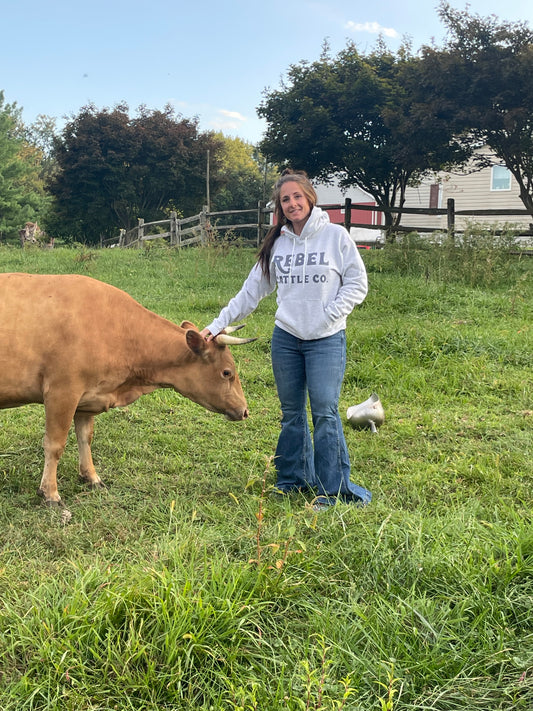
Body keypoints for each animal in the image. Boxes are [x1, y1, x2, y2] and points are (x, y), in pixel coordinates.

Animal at [0, 273, 254, 506]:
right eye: (227, 373)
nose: (245, 411)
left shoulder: (87, 398)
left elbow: (85, 437)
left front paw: (91, 477)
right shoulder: (62, 392)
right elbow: (55, 444)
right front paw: (50, 493)